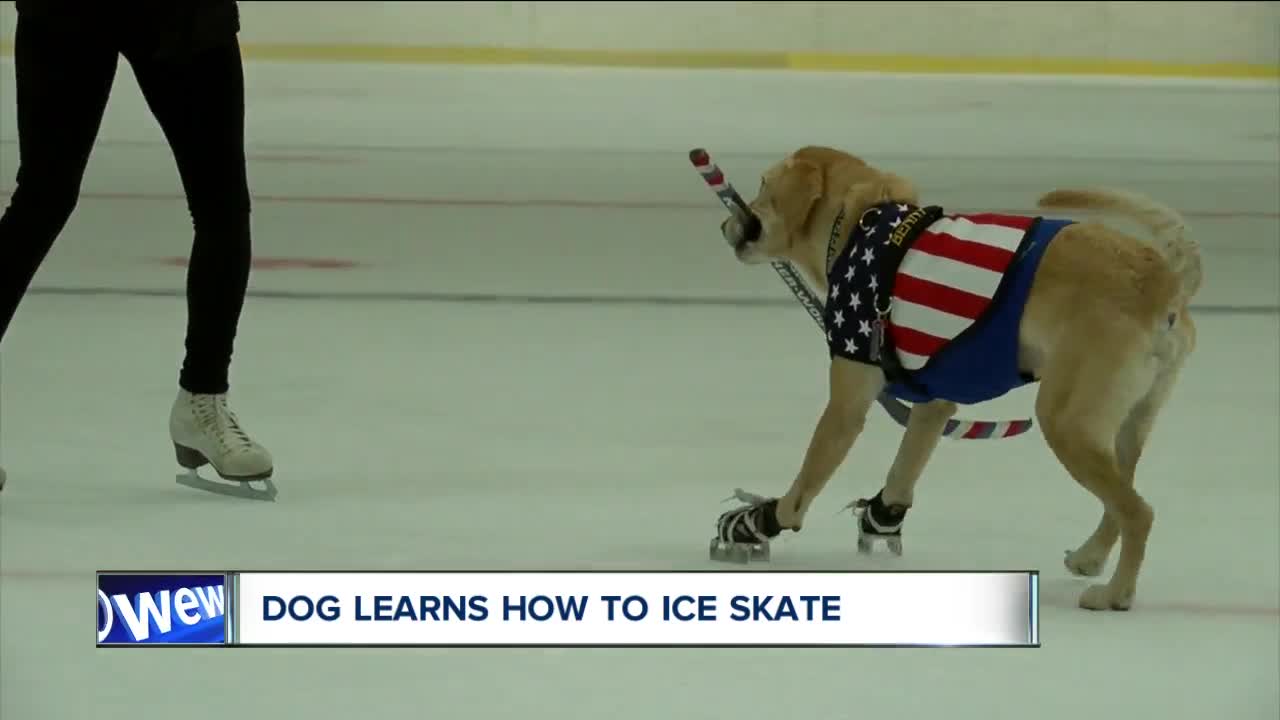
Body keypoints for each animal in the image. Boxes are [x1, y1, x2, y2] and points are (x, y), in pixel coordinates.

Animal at [711, 146, 1198, 609]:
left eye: (763, 184)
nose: (724, 224)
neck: (860, 226)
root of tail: (1162, 282)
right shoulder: (934, 403)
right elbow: (903, 472)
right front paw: (881, 518)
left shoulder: (847, 405)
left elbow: (804, 486)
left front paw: (758, 522)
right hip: (1125, 425)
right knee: (1121, 502)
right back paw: (1090, 556)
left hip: (1067, 423)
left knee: (1138, 513)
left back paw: (1116, 593)